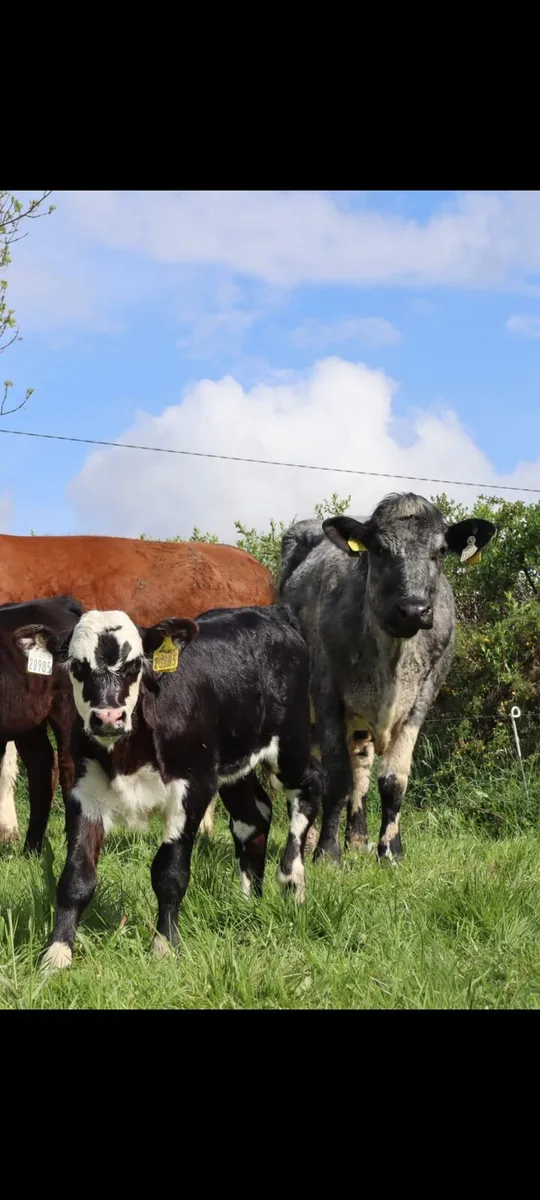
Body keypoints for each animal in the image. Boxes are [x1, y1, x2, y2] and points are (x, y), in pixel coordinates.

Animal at [14, 604, 322, 970]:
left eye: (135, 666)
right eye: (77, 666)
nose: (108, 717)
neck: (128, 754)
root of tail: (270, 612)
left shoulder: (192, 789)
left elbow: (169, 873)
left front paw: (164, 945)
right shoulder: (84, 792)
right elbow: (77, 876)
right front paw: (57, 952)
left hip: (290, 743)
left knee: (309, 788)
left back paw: (292, 879)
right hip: (235, 766)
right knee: (254, 816)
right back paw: (249, 899)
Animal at [279, 493, 496, 864]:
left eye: (441, 551)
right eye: (379, 549)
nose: (414, 609)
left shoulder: (420, 702)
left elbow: (393, 781)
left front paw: (391, 851)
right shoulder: (327, 695)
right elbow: (336, 779)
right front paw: (327, 852)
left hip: (360, 725)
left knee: (362, 771)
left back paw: (358, 840)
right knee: (316, 774)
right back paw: (309, 842)